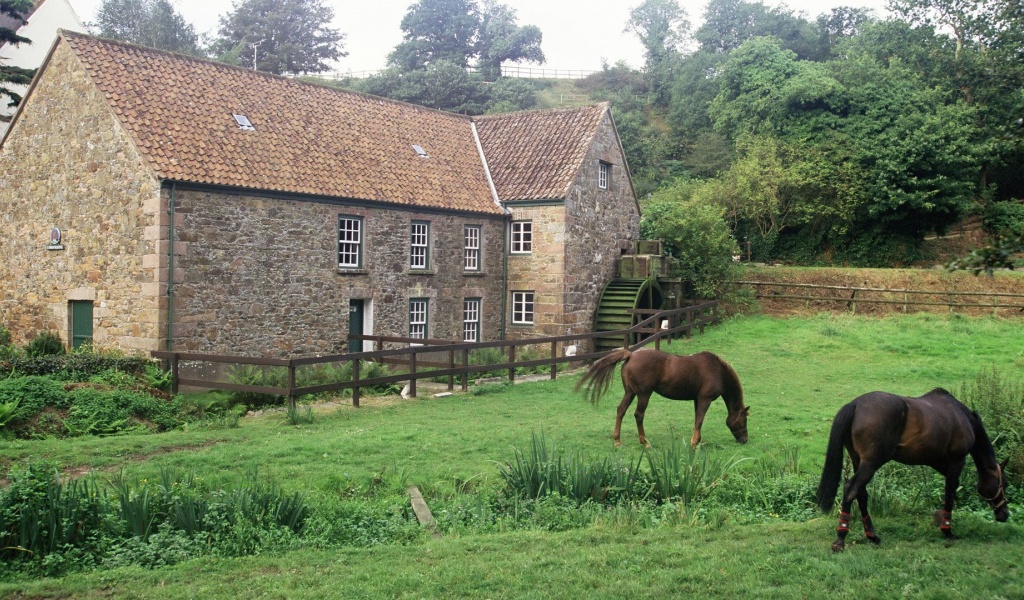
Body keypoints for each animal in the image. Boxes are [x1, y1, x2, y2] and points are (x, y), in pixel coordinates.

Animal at [577, 346, 745, 444]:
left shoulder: (697, 399)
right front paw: (694, 443)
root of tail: (631, 355)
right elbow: (699, 420)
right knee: (638, 415)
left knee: (621, 410)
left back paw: (617, 440)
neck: (717, 371)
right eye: (743, 420)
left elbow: (697, 419)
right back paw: (644, 442)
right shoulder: (705, 399)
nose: (745, 440)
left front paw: (697, 440)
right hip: (643, 394)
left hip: (630, 393)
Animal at [815, 387, 1007, 552]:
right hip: (870, 463)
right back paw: (840, 539)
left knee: (861, 494)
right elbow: (950, 494)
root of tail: (855, 405)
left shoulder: (939, 463)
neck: (963, 417)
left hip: (858, 461)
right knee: (851, 489)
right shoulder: (956, 462)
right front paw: (947, 530)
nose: (1004, 514)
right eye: (1003, 483)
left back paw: (872, 536)